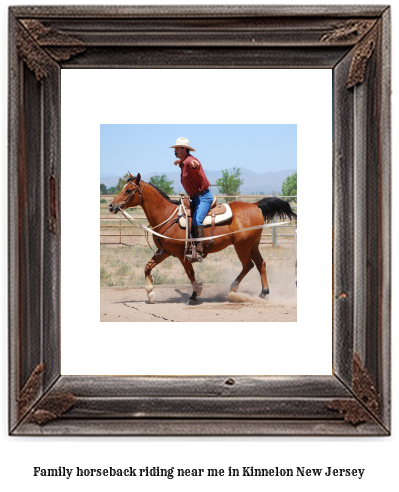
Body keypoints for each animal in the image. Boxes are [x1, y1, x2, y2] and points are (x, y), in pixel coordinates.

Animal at [109, 173, 296, 304]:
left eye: (128, 190)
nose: (111, 205)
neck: (168, 216)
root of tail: (255, 205)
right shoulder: (164, 251)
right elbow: (147, 267)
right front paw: (150, 292)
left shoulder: (182, 254)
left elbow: (190, 273)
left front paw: (194, 294)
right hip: (253, 245)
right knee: (260, 264)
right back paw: (263, 292)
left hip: (242, 246)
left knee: (248, 265)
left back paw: (234, 288)